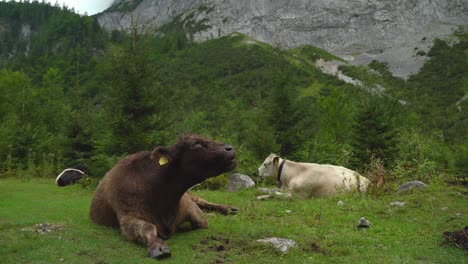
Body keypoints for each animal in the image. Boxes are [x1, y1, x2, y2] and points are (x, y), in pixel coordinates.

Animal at [89, 135, 238, 258]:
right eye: (196, 144)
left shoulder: (191, 207)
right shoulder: (127, 216)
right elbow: (148, 227)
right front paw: (158, 247)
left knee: (205, 202)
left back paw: (228, 209)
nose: (230, 148)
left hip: (191, 195)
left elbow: (201, 221)